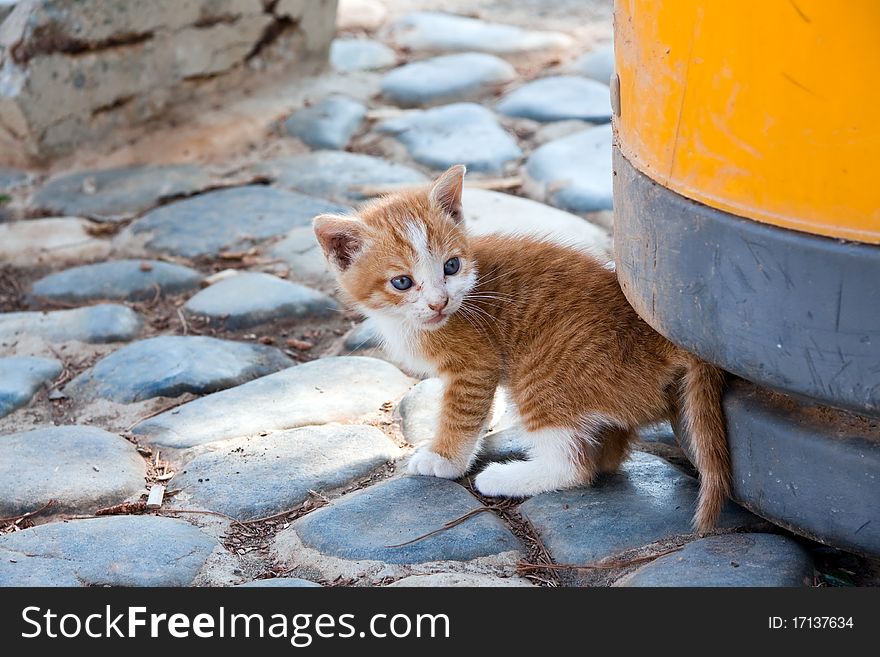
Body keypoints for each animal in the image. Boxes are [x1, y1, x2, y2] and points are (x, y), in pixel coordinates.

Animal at [312, 165, 732, 532]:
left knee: (573, 468)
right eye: (402, 282)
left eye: (451, 266)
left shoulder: (476, 363)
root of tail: (657, 335)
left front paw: (444, 459)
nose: (439, 302)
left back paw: (506, 477)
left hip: (542, 373)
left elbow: (461, 413)